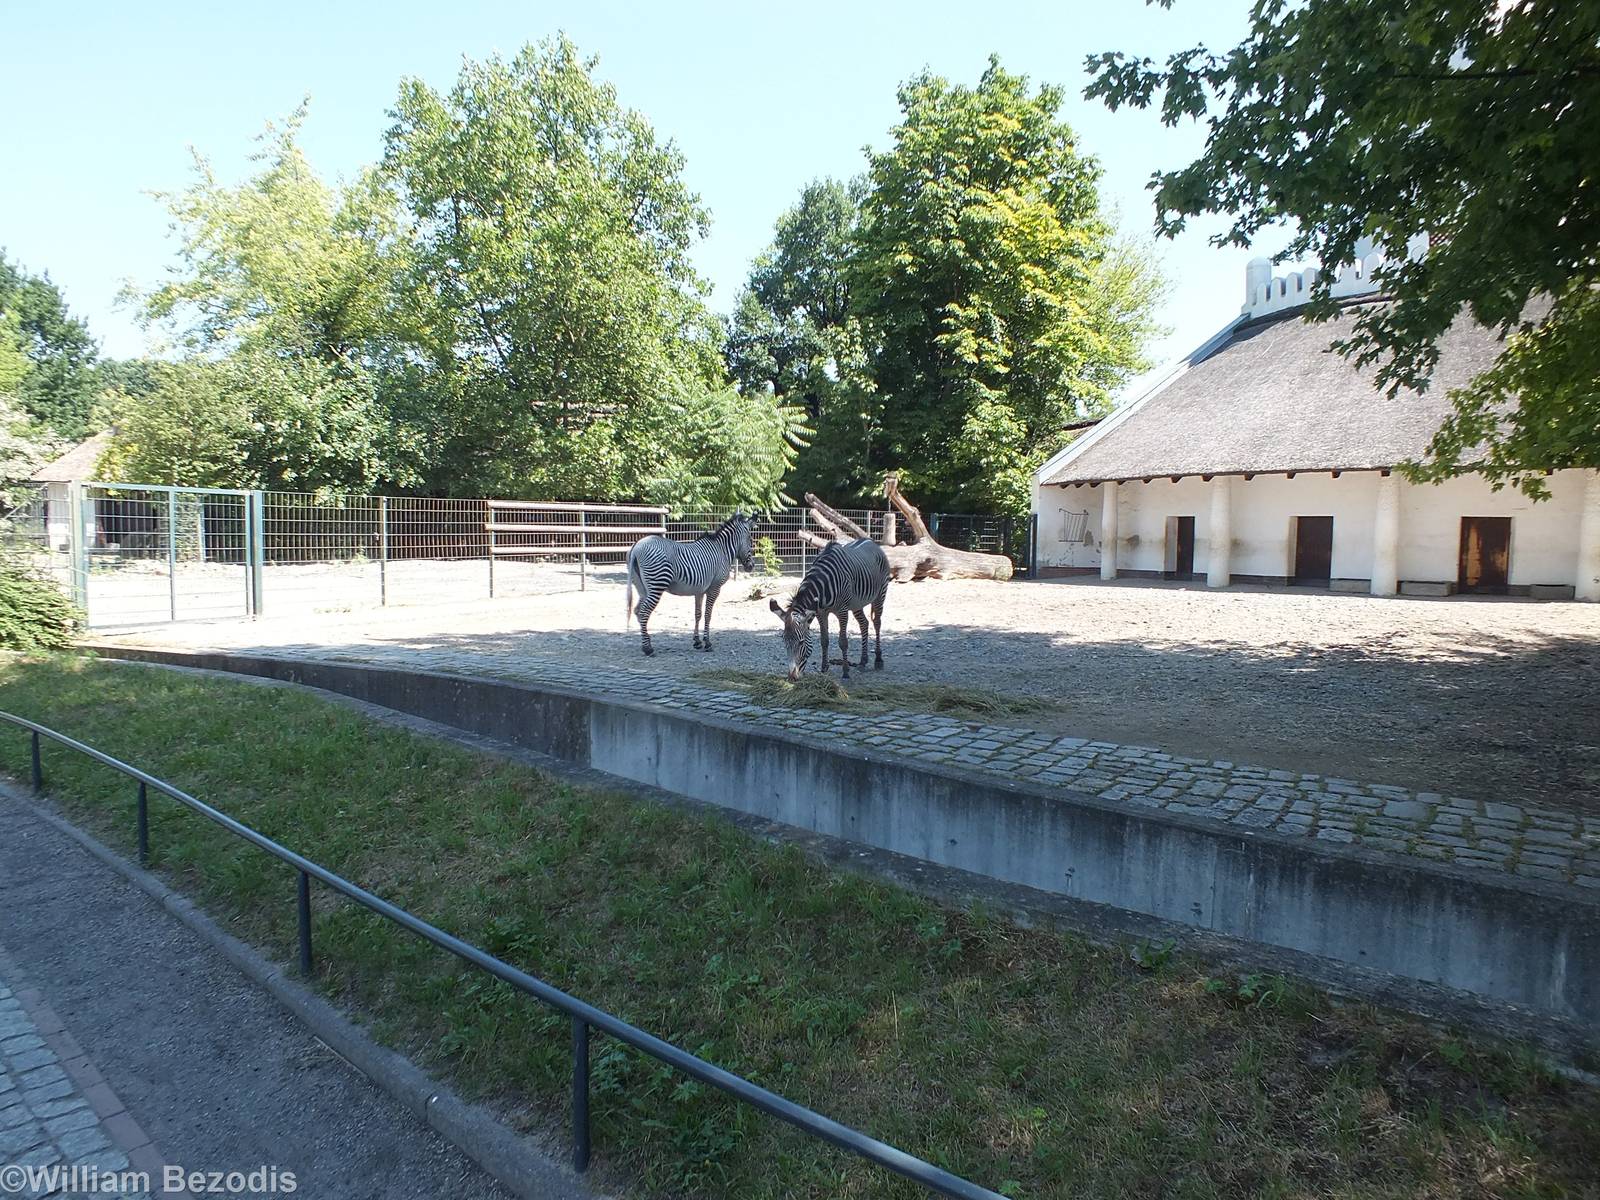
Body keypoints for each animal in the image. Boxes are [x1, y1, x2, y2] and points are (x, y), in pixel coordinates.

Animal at [626, 513, 755, 656]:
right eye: (750, 540)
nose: (751, 566)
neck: (723, 551)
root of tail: (637, 547)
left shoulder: (700, 590)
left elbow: (698, 614)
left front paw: (697, 641)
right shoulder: (714, 588)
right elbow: (708, 614)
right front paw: (707, 642)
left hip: (642, 588)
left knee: (637, 611)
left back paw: (646, 641)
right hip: (657, 584)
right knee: (643, 612)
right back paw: (648, 648)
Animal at [768, 538, 890, 680]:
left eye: (801, 642)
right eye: (784, 642)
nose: (792, 677)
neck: (822, 585)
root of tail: (870, 541)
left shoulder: (842, 611)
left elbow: (843, 642)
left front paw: (845, 671)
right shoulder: (821, 612)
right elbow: (824, 640)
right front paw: (824, 668)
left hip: (881, 593)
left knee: (877, 623)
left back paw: (878, 659)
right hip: (857, 602)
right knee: (864, 623)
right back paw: (863, 661)